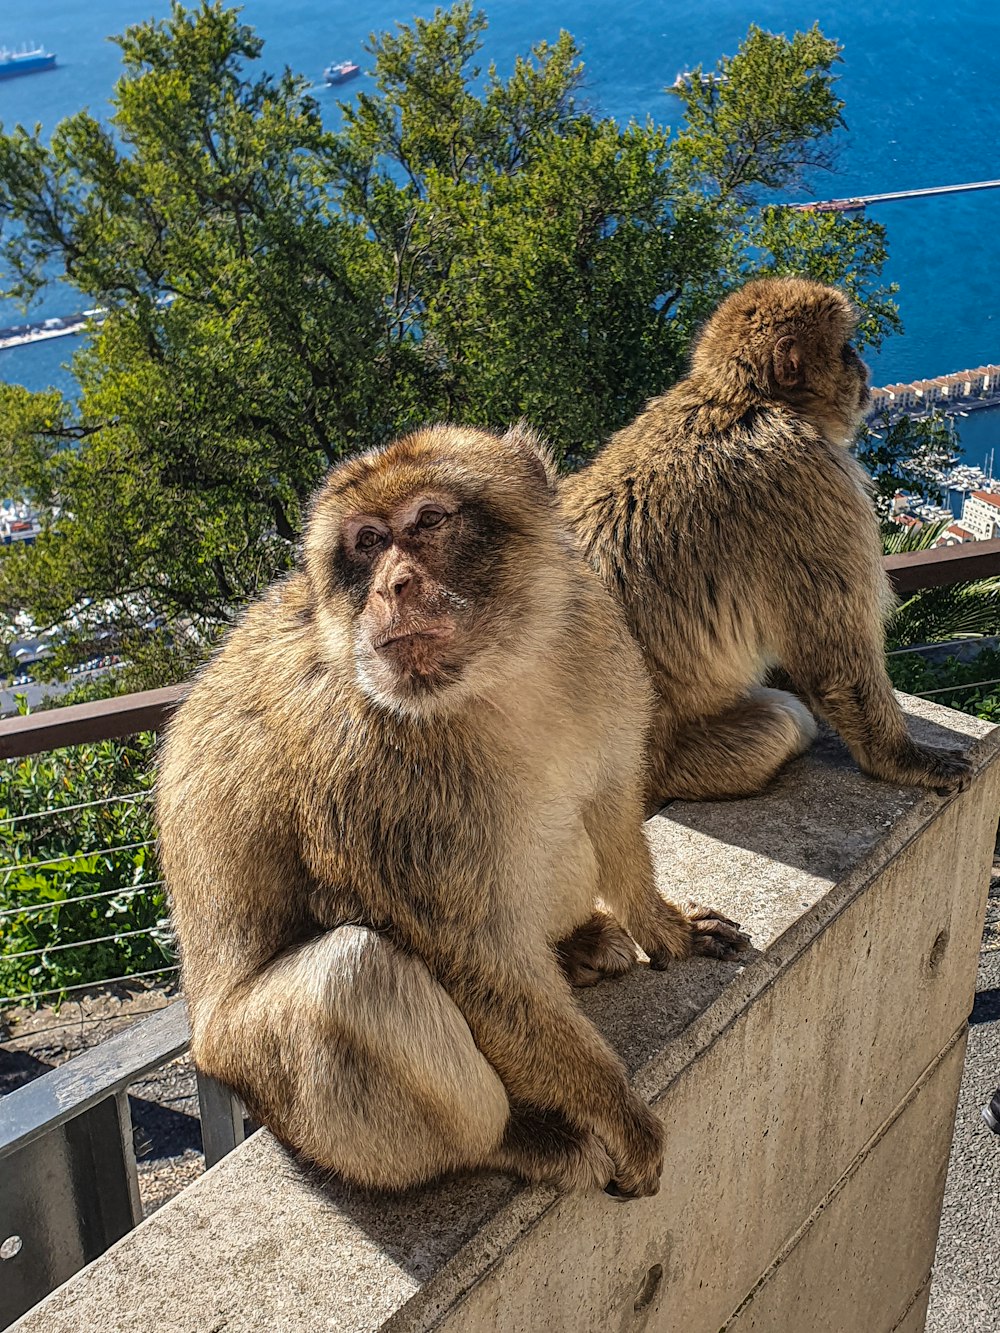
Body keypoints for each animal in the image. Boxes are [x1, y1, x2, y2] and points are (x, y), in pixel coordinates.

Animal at [156, 423, 746, 1199]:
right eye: (367, 542)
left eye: (429, 520)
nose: (391, 586)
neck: (498, 679)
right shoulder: (378, 784)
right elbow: (476, 962)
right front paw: (619, 1115)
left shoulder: (593, 641)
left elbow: (610, 804)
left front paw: (665, 928)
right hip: (273, 1090)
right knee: (354, 977)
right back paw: (514, 1139)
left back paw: (574, 945)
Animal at [565, 275, 970, 805]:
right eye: (846, 350)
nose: (863, 367)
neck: (745, 401)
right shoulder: (813, 482)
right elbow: (837, 663)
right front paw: (901, 759)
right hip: (677, 765)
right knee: (785, 718)